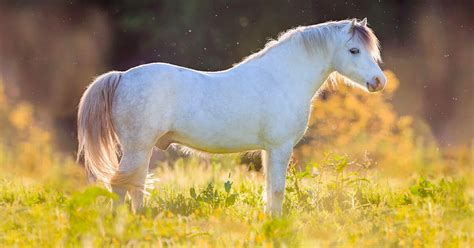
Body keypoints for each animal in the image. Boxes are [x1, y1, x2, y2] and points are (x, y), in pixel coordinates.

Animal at [78, 18, 386, 214]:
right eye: (354, 50)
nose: (378, 81)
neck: (282, 77)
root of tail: (121, 77)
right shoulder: (280, 147)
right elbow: (277, 190)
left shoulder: (269, 150)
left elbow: (269, 190)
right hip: (137, 148)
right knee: (120, 186)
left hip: (140, 151)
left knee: (135, 185)